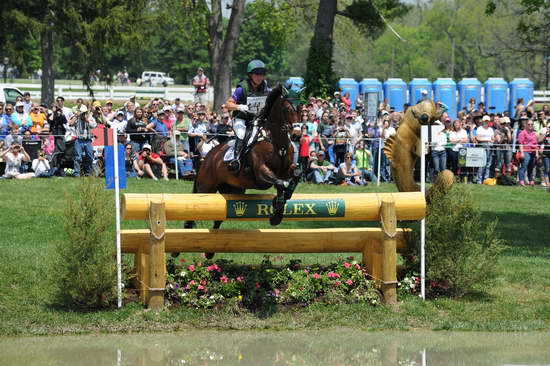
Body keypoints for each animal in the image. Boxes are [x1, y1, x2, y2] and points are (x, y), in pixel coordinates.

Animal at [187, 84, 302, 232]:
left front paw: (282, 199)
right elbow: (280, 183)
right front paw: (276, 216)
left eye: (301, 109)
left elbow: (296, 175)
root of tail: (207, 157)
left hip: (232, 189)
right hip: (206, 187)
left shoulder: (286, 170)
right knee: (193, 210)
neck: (276, 145)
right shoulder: (261, 173)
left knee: (218, 221)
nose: (297, 135)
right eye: (287, 109)